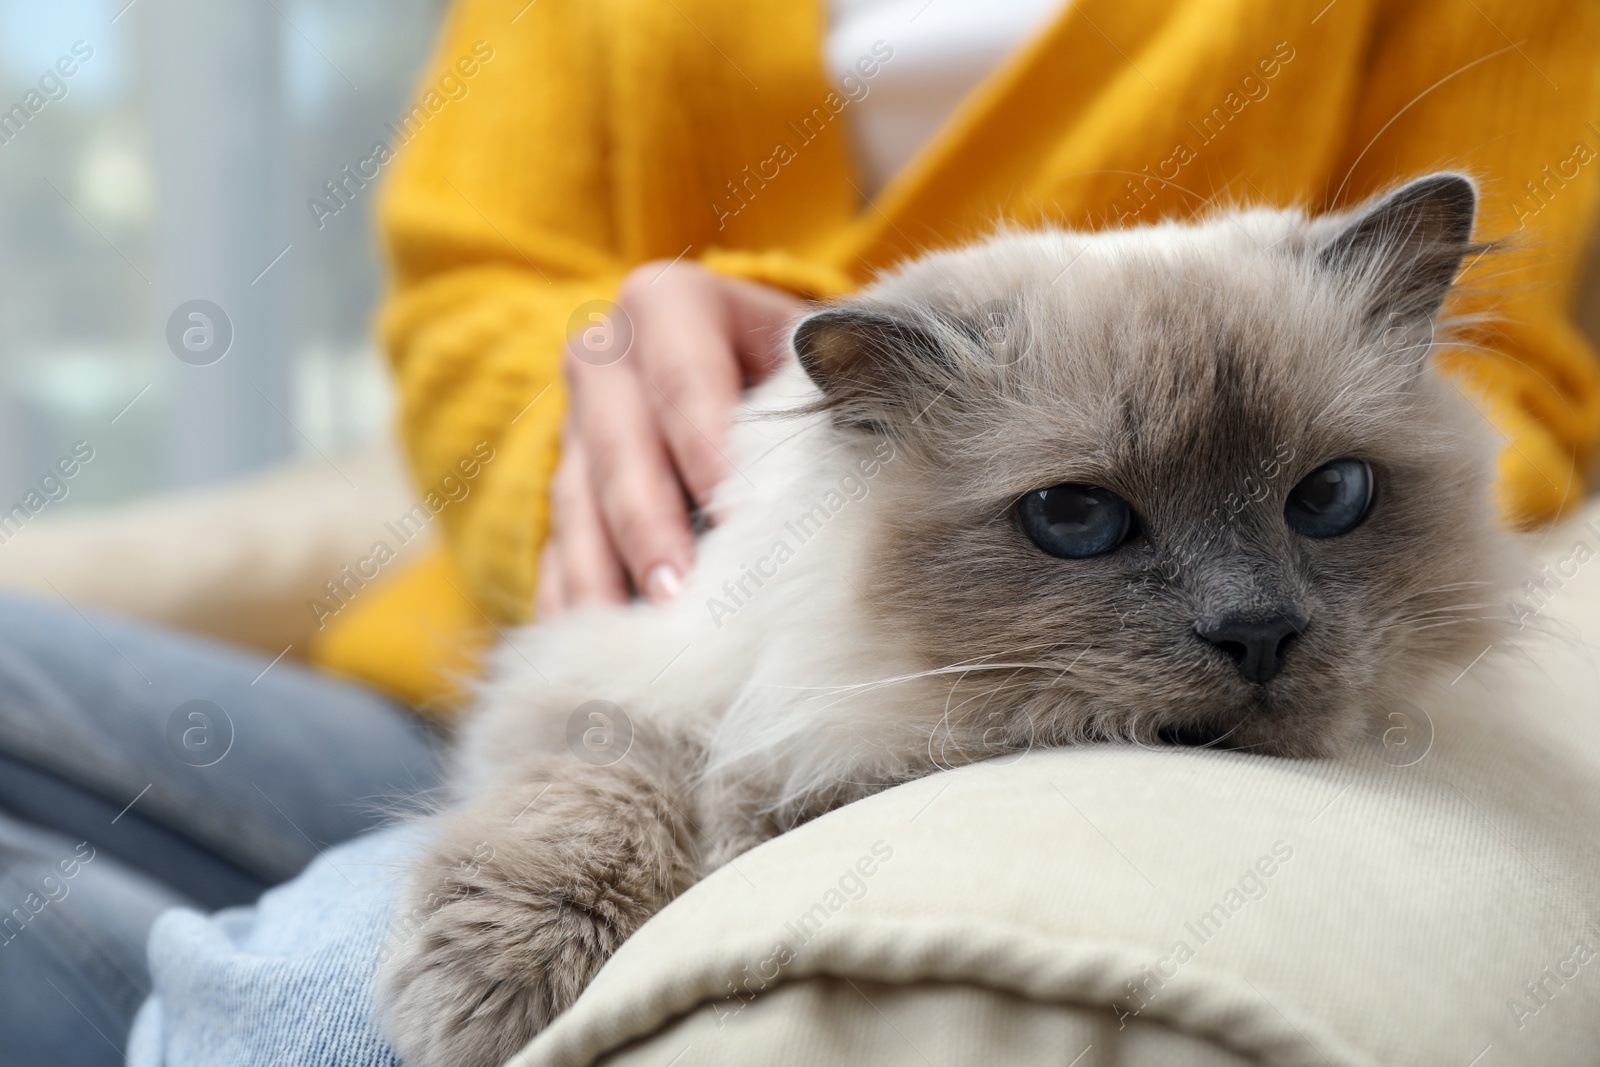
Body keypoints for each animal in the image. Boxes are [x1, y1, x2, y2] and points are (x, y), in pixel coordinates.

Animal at [380, 171, 1516, 1062]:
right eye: (1076, 518)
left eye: (1329, 497)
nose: (1258, 632)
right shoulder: (619, 675)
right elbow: (598, 795)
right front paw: (486, 999)